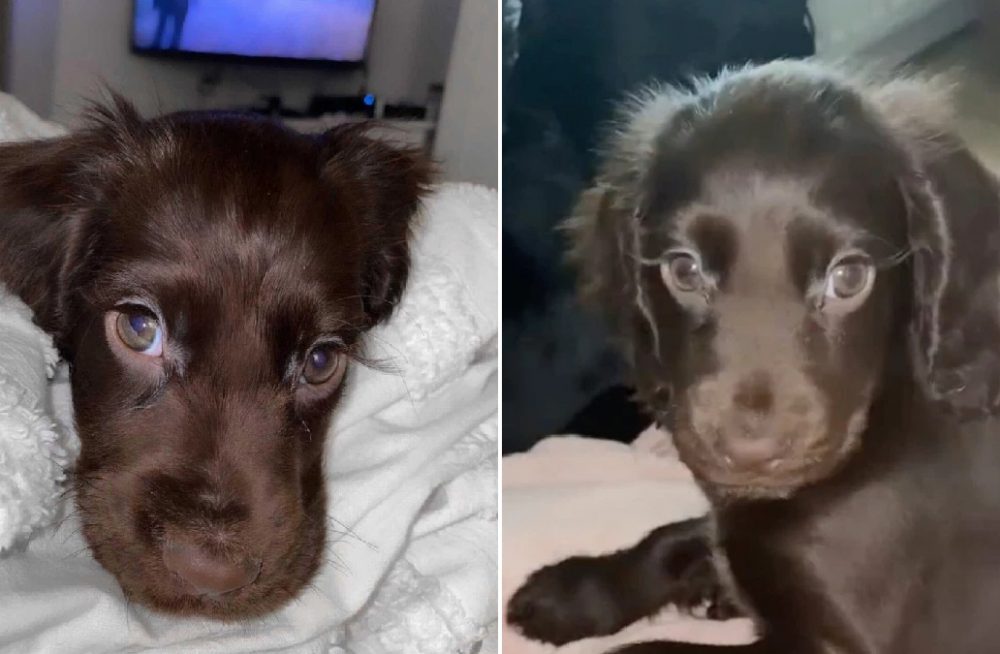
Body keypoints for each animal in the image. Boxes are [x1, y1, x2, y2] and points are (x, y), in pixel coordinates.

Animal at [508, 59, 1000, 652]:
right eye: (684, 270)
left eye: (849, 278)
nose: (749, 453)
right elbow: (676, 534)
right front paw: (577, 592)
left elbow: (653, 647)